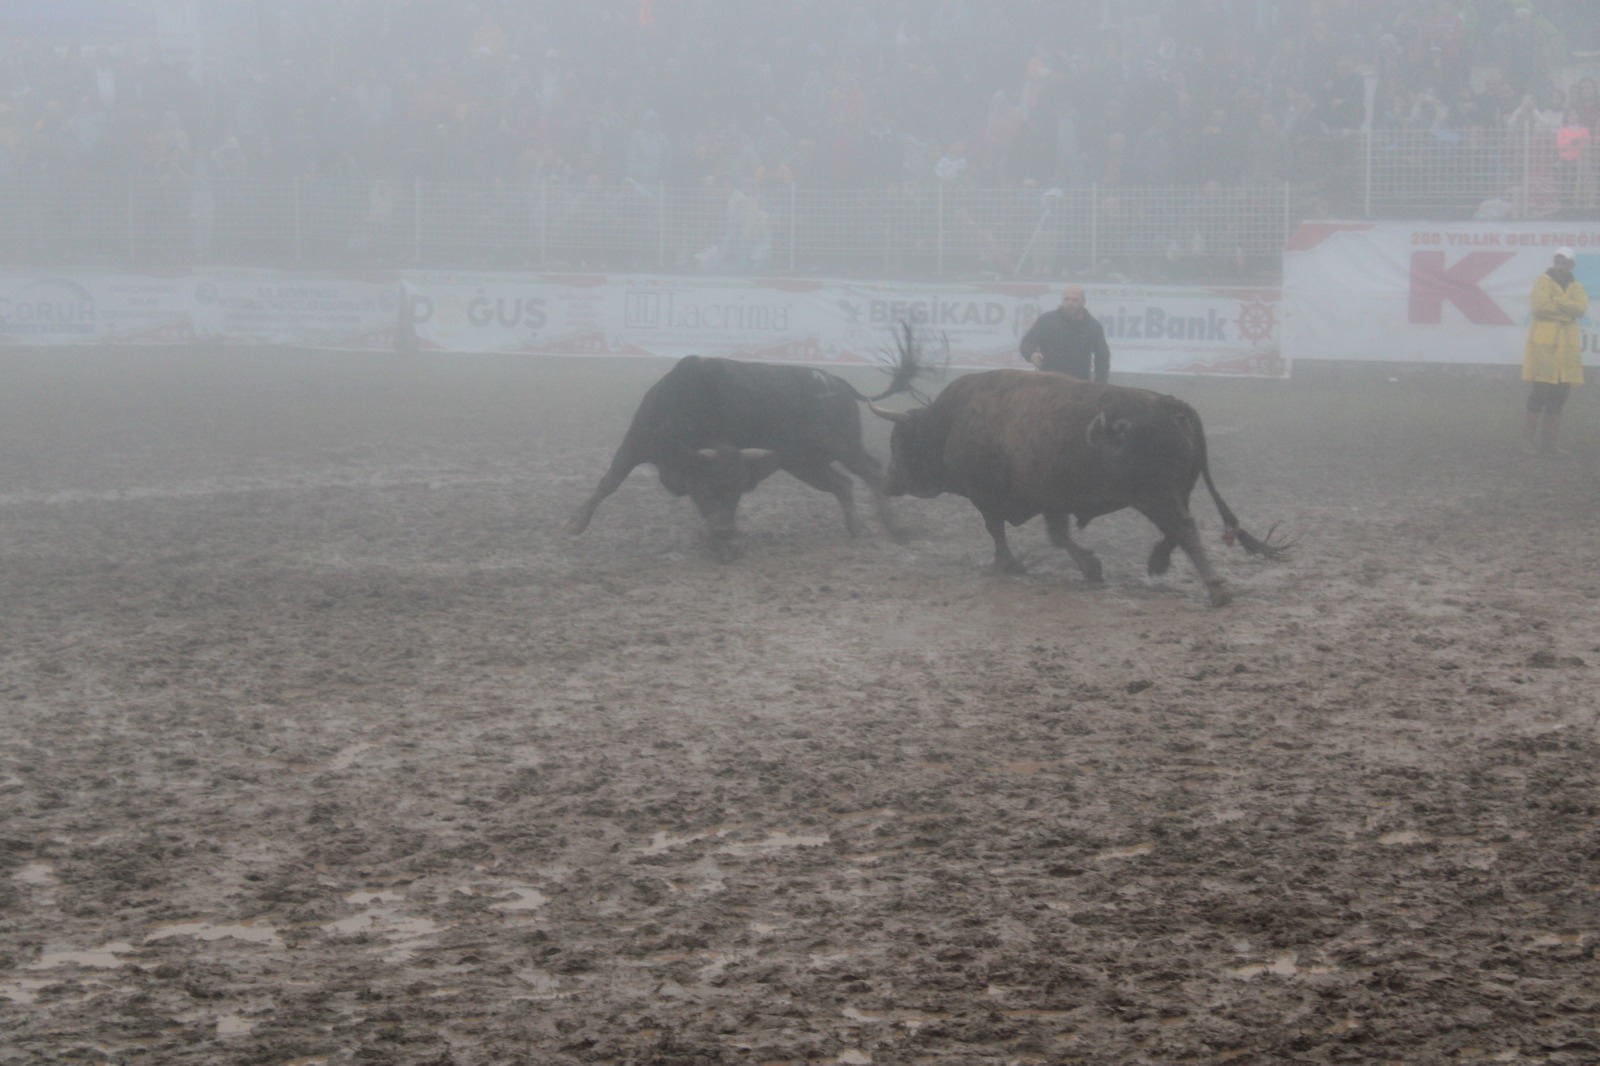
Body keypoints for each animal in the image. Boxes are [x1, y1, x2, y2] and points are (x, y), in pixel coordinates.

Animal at [563, 350, 921, 550]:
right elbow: (609, 482)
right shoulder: (636, 442)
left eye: (737, 493)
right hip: (804, 462)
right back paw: (856, 528)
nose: (724, 532)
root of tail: (839, 383)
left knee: (872, 472)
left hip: (843, 446)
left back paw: (897, 529)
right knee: (843, 484)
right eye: (708, 490)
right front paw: (576, 524)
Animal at [870, 369, 1292, 605]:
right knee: (1178, 530)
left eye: (896, 442)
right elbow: (1059, 536)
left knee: (1184, 529)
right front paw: (1090, 566)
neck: (952, 419)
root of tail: (1172, 406)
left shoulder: (987, 497)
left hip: (1156, 497)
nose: (886, 481)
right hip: (1171, 494)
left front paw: (1007, 563)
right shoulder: (1051, 499)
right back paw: (1158, 562)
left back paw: (1217, 589)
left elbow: (997, 530)